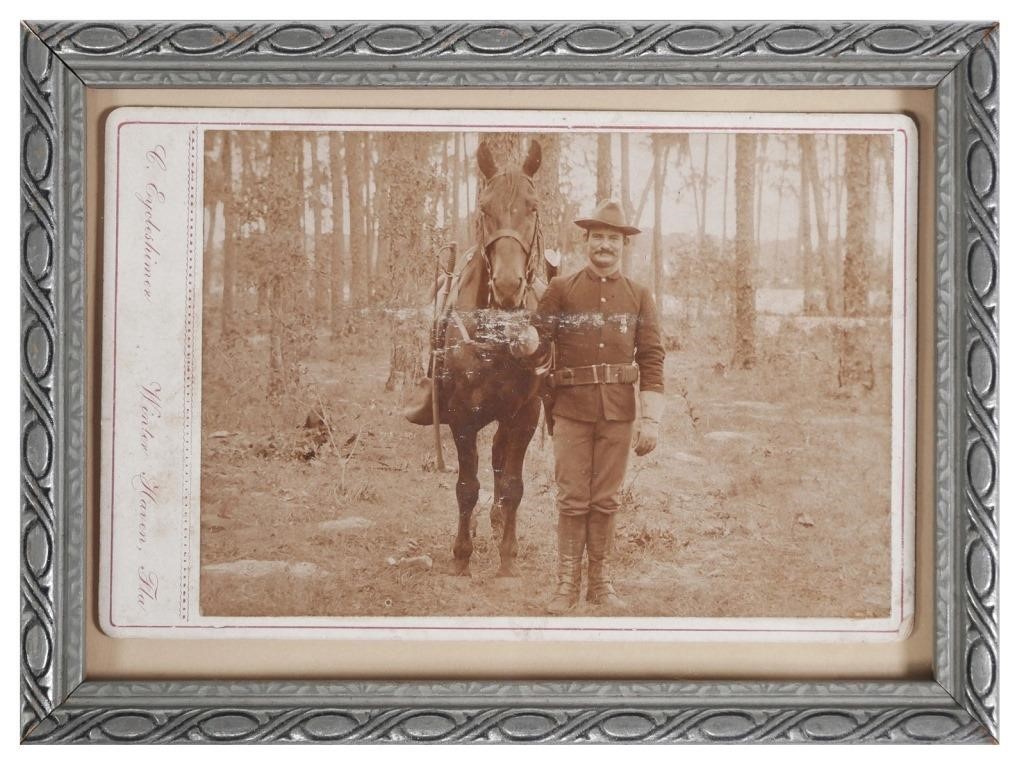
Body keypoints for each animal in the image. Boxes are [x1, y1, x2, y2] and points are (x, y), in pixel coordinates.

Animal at [434, 141, 557, 581]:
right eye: (485, 209)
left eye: (533, 207)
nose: (506, 286)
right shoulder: (461, 416)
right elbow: (467, 486)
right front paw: (461, 554)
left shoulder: (524, 415)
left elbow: (513, 486)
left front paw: (507, 555)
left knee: (502, 467)